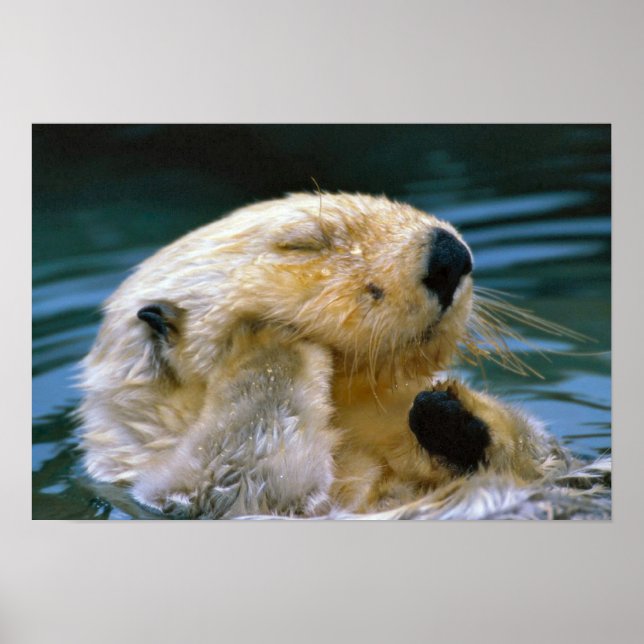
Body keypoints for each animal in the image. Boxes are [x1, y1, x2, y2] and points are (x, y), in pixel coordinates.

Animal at [77, 192, 594, 519]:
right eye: (303, 244)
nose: (450, 255)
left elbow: (540, 453)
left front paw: (447, 412)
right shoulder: (201, 493)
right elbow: (249, 460)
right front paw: (264, 340)